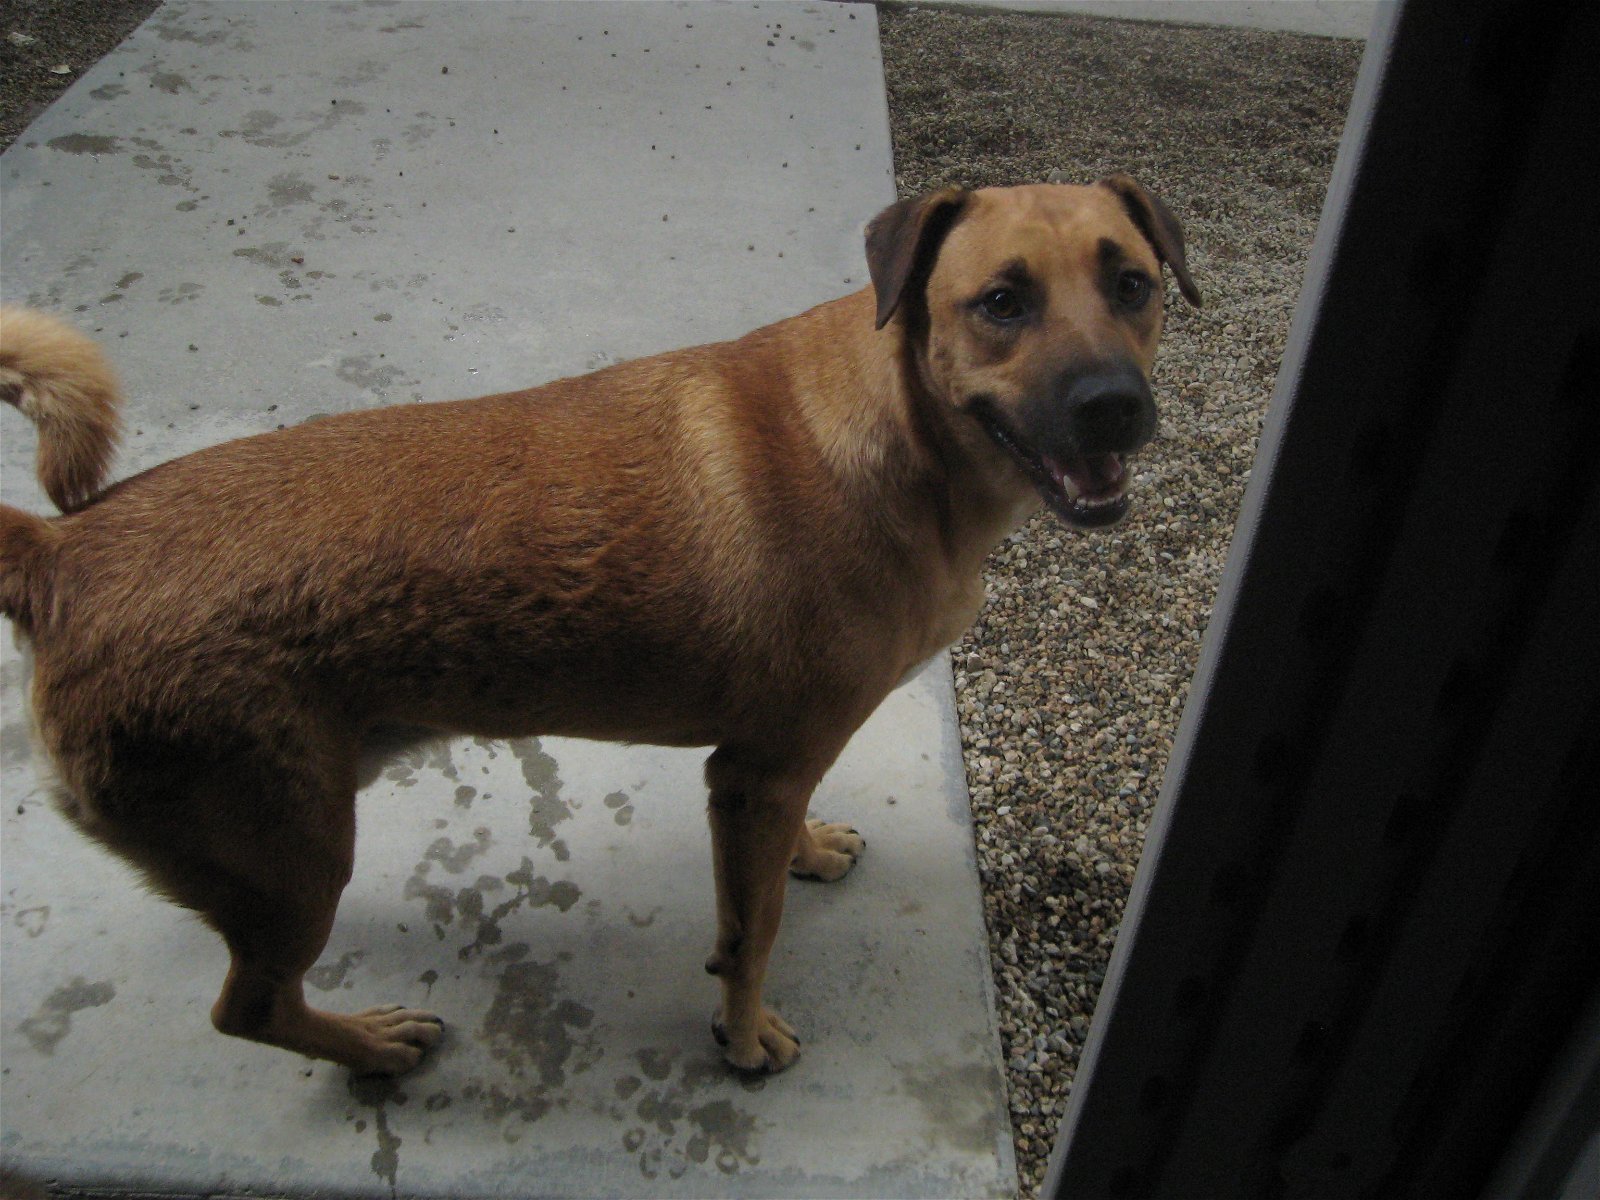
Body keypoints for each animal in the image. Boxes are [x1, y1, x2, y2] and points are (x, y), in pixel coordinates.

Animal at [0, 176, 1203, 1081]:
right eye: (1000, 302)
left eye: (1132, 285)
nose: (1113, 406)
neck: (903, 429)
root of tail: (60, 553)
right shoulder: (754, 775)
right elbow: (749, 936)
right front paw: (742, 1039)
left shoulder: (775, 769)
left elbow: (783, 859)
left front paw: (812, 851)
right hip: (293, 858)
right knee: (246, 1009)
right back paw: (371, 1049)